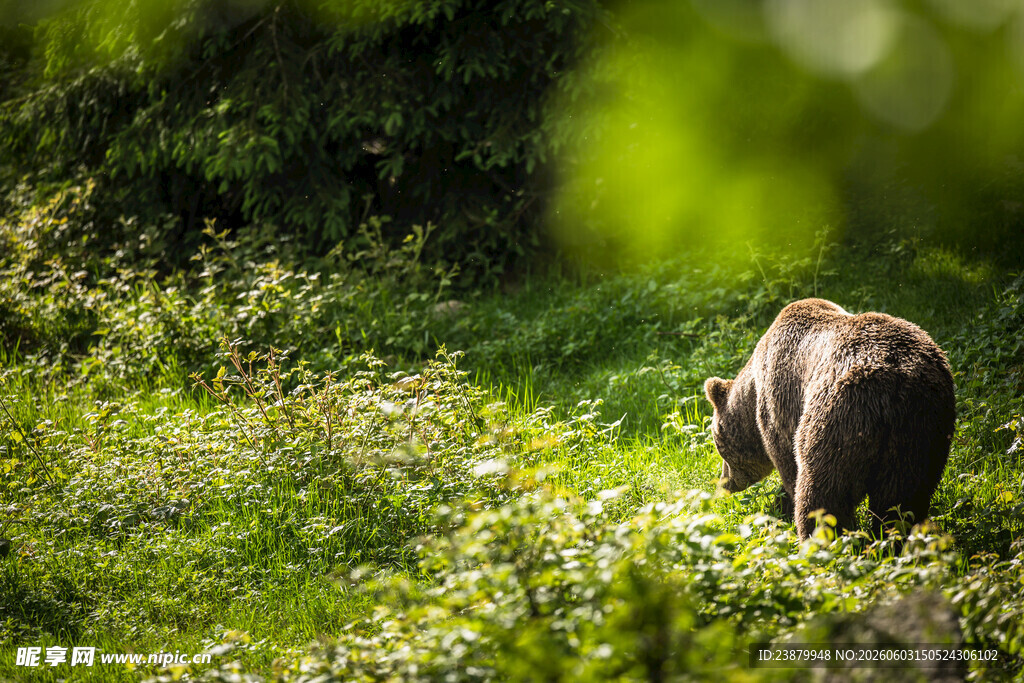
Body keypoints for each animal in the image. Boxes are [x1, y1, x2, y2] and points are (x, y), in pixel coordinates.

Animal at [704, 298, 956, 540]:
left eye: (718, 446)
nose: (725, 483)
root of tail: (896, 383)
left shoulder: (781, 405)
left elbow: (790, 467)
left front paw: (782, 505)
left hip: (838, 418)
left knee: (822, 492)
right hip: (921, 433)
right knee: (901, 501)